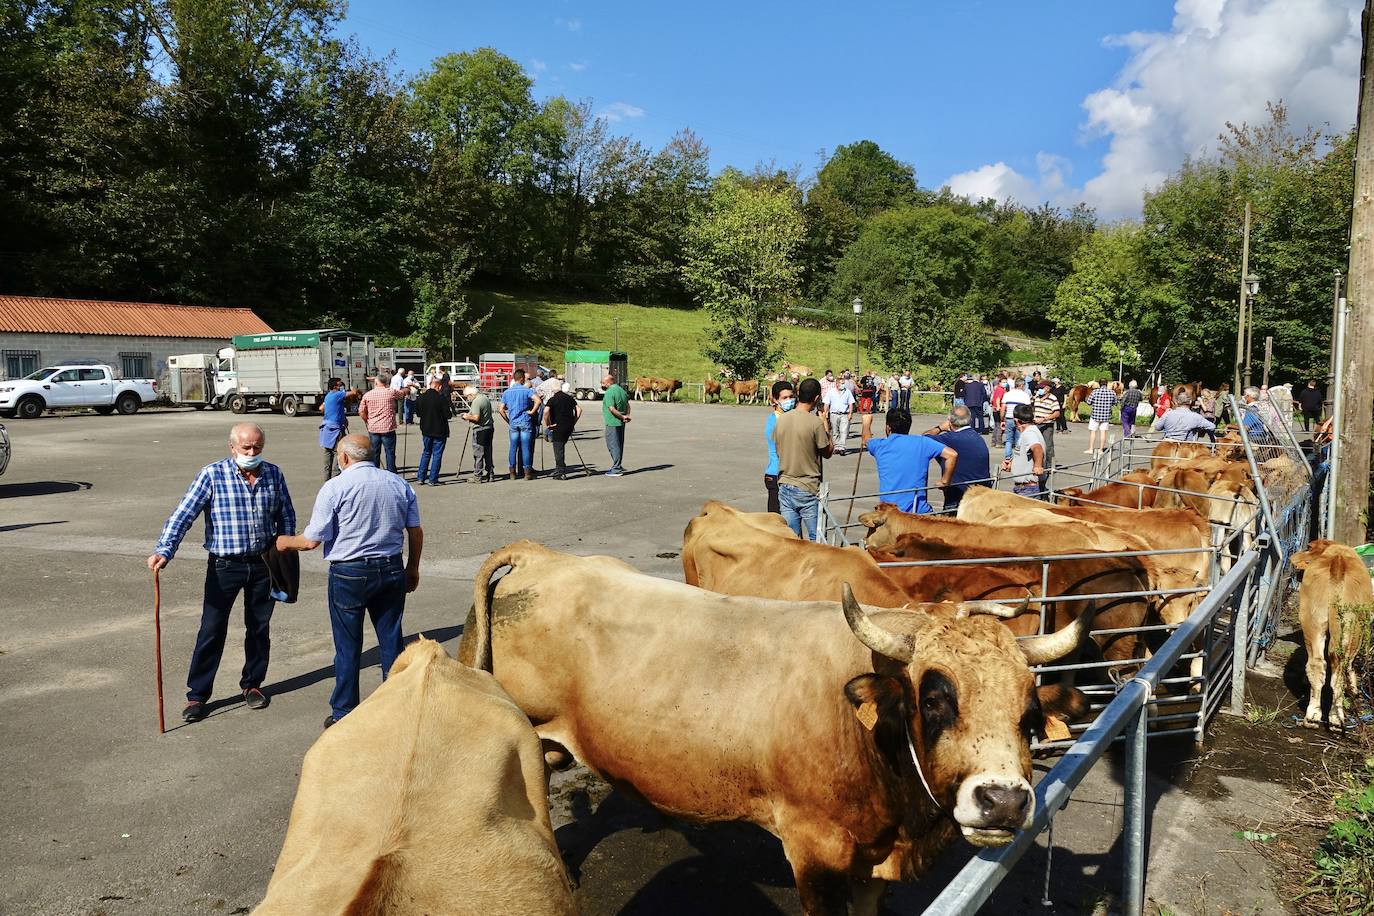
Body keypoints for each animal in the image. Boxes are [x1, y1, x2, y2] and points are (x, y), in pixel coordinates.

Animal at [461, 541, 1093, 911]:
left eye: (1029, 714)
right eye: (934, 698)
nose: (1003, 801)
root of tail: (542, 558)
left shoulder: (871, 861)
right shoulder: (815, 852)